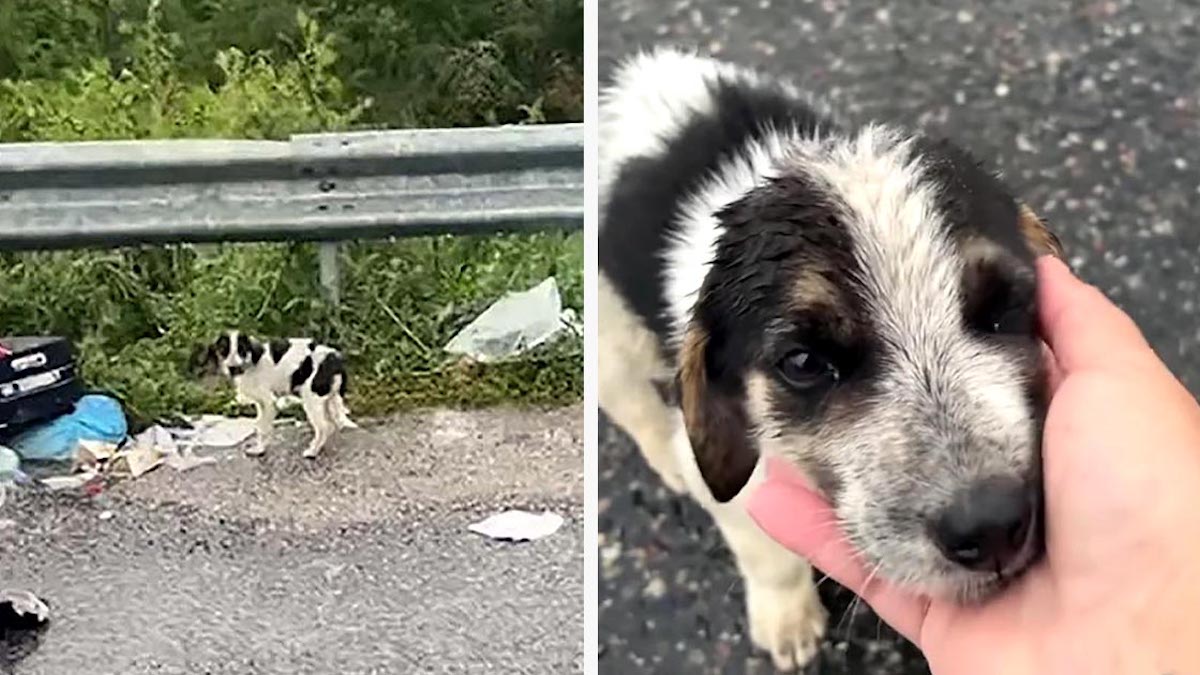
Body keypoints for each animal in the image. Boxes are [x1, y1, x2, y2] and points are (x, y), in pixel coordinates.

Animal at [194, 329, 355, 456]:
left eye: (241, 349)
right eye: (223, 349)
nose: (233, 368)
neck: (252, 362)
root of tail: (335, 359)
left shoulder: (269, 402)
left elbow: (262, 427)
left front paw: (260, 450)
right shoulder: (261, 404)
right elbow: (260, 426)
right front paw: (260, 447)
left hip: (312, 400)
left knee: (324, 427)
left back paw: (313, 451)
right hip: (330, 399)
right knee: (334, 424)